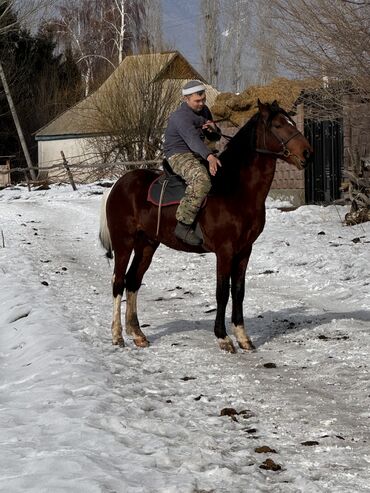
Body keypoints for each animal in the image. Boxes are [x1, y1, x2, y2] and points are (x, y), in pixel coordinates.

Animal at [99, 100, 314, 352]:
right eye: (278, 125)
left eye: (292, 122)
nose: (308, 153)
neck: (235, 189)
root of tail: (117, 185)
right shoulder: (225, 251)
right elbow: (222, 293)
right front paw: (223, 338)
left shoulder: (244, 251)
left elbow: (238, 291)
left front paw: (243, 337)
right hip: (124, 243)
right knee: (118, 282)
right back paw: (117, 335)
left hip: (147, 245)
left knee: (133, 282)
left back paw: (138, 334)